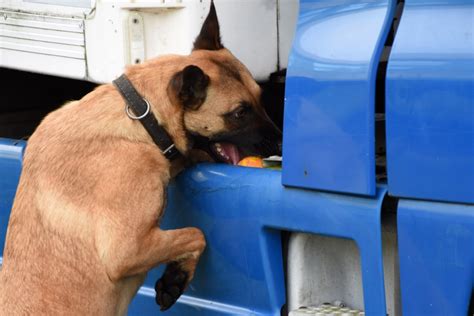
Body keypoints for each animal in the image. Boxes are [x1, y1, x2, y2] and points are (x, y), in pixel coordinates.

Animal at [0, 1, 282, 314]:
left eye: (261, 98)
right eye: (240, 113)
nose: (282, 141)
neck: (142, 114)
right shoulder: (127, 251)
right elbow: (196, 233)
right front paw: (177, 275)